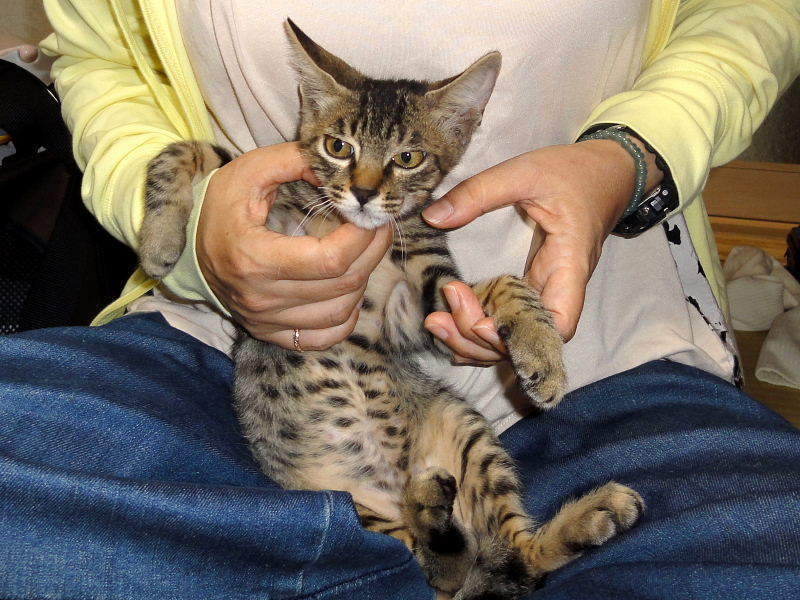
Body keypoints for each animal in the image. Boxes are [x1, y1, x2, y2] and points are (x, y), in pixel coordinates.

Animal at [138, 19, 643, 600]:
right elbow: (189, 150)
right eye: (338, 146)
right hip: (356, 512)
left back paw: (577, 515)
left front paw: (542, 354)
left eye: (407, 158)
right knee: (447, 568)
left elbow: (507, 284)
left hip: (465, 431)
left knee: (508, 562)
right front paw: (160, 242)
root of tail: (392, 485)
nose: (361, 192)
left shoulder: (418, 308)